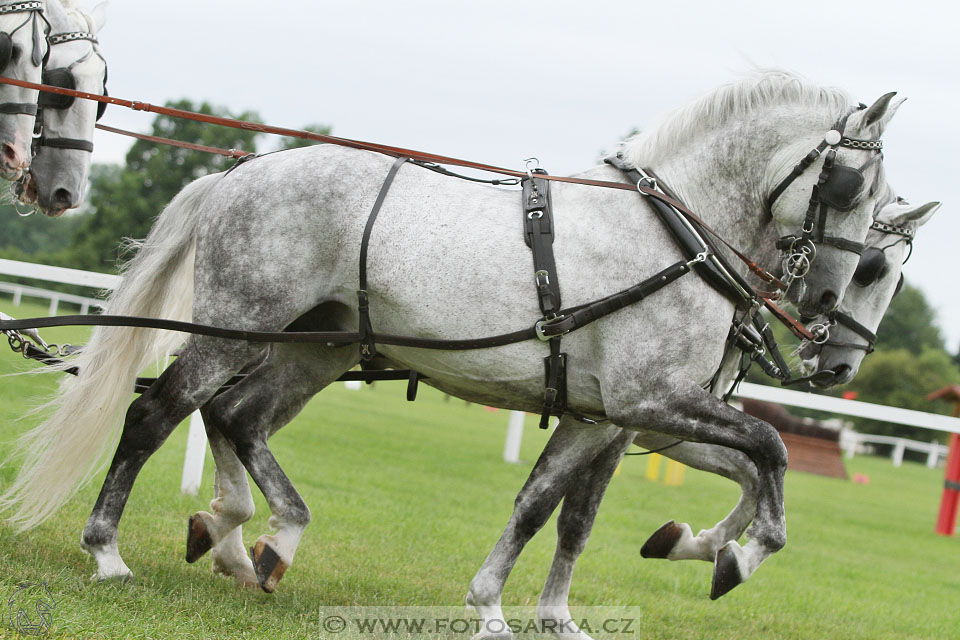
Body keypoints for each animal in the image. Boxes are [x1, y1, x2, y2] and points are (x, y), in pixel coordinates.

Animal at [0, 71, 916, 624]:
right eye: (849, 188)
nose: (826, 322)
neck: (673, 235)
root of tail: (238, 173)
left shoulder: (609, 416)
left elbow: (560, 510)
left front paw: (541, 613)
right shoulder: (650, 402)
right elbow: (770, 449)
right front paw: (740, 556)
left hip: (313, 346)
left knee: (235, 417)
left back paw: (254, 539)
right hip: (238, 328)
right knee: (160, 412)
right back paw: (112, 551)